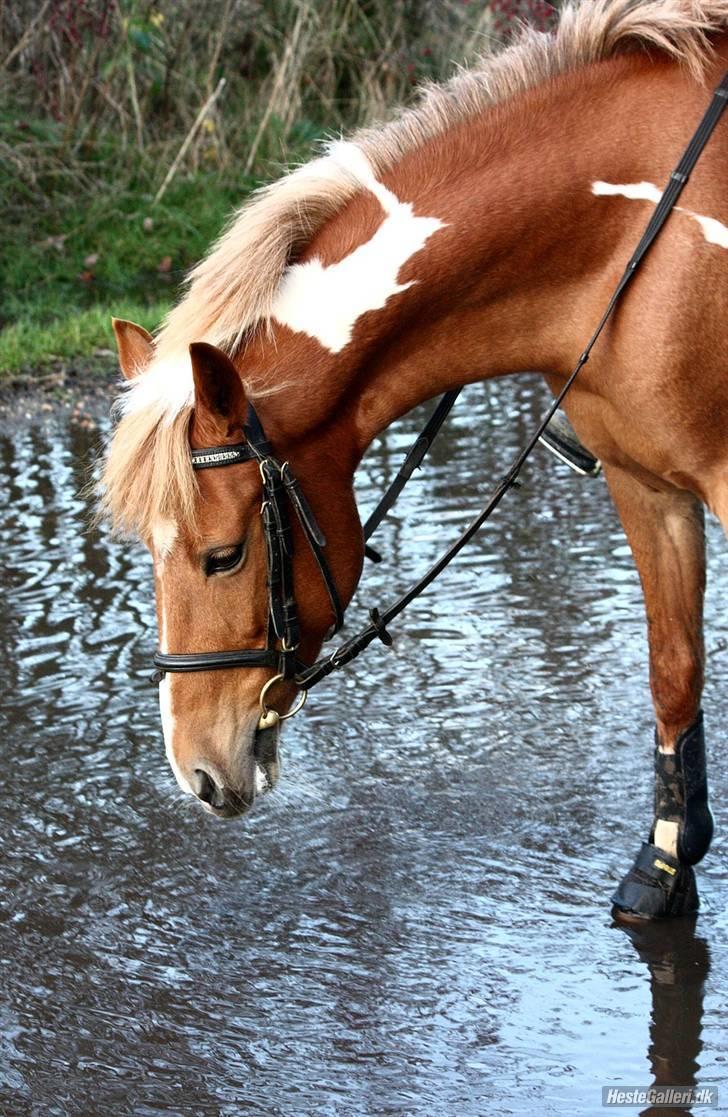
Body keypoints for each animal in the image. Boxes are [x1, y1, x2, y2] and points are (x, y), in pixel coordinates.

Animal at [103, 0, 728, 920]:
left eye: (224, 556)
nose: (198, 772)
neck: (641, 235)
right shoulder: (645, 484)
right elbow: (674, 669)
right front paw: (663, 867)